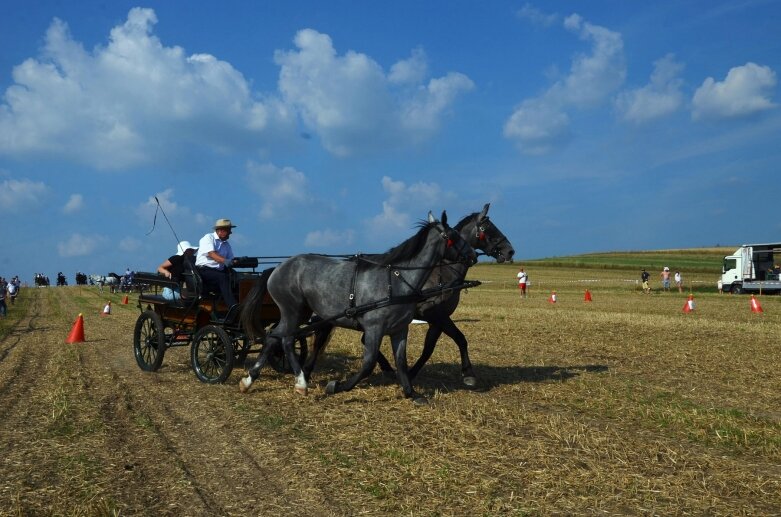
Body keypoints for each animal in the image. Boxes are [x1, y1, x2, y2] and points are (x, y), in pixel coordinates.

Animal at [236, 210, 476, 404]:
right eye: (454, 236)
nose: (473, 255)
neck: (396, 280)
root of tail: (277, 268)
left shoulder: (400, 329)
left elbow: (401, 361)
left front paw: (412, 393)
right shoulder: (374, 328)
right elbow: (368, 364)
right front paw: (336, 386)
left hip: (299, 312)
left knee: (273, 338)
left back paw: (249, 380)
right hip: (292, 310)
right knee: (286, 340)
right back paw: (301, 382)